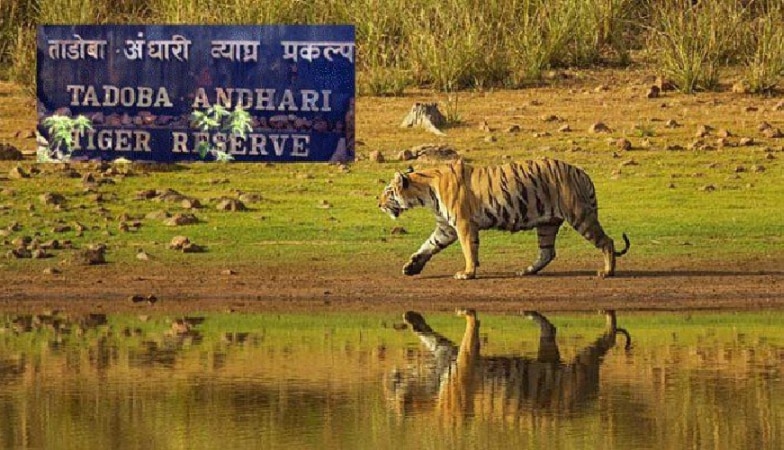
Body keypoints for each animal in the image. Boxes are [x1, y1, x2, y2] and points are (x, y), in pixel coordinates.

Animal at [376, 157, 628, 278]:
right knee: (547, 252)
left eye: (388, 191)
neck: (425, 192)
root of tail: (582, 172)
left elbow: (469, 249)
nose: (378, 203)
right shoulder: (445, 227)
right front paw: (411, 267)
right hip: (547, 223)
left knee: (607, 241)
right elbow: (428, 245)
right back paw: (526, 271)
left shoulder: (463, 224)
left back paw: (607, 272)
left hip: (579, 215)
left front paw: (468, 273)